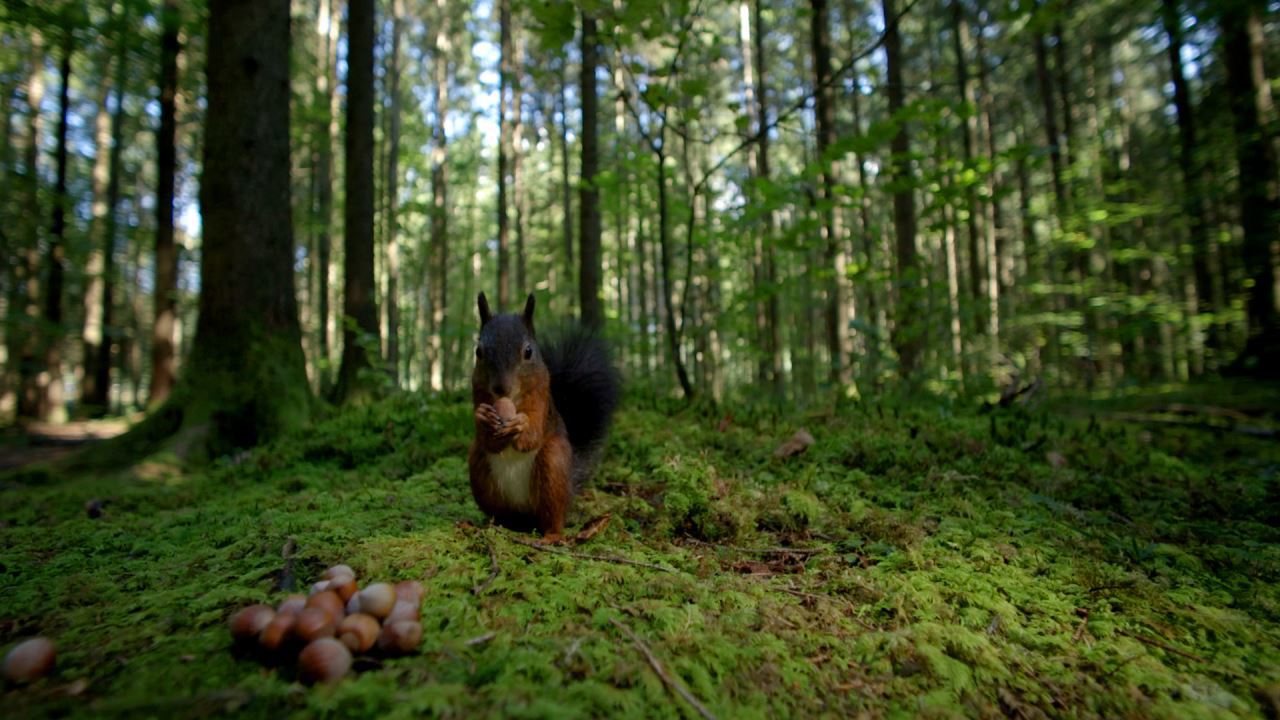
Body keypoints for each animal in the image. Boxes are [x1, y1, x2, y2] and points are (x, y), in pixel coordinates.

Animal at [471, 289, 619, 538]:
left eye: (528, 352)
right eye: (478, 351)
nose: (501, 388)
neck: (511, 401)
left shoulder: (541, 402)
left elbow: (531, 437)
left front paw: (520, 424)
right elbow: (488, 441)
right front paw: (483, 416)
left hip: (553, 467)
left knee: (554, 517)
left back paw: (550, 537)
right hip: (478, 467)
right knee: (500, 514)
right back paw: (487, 525)